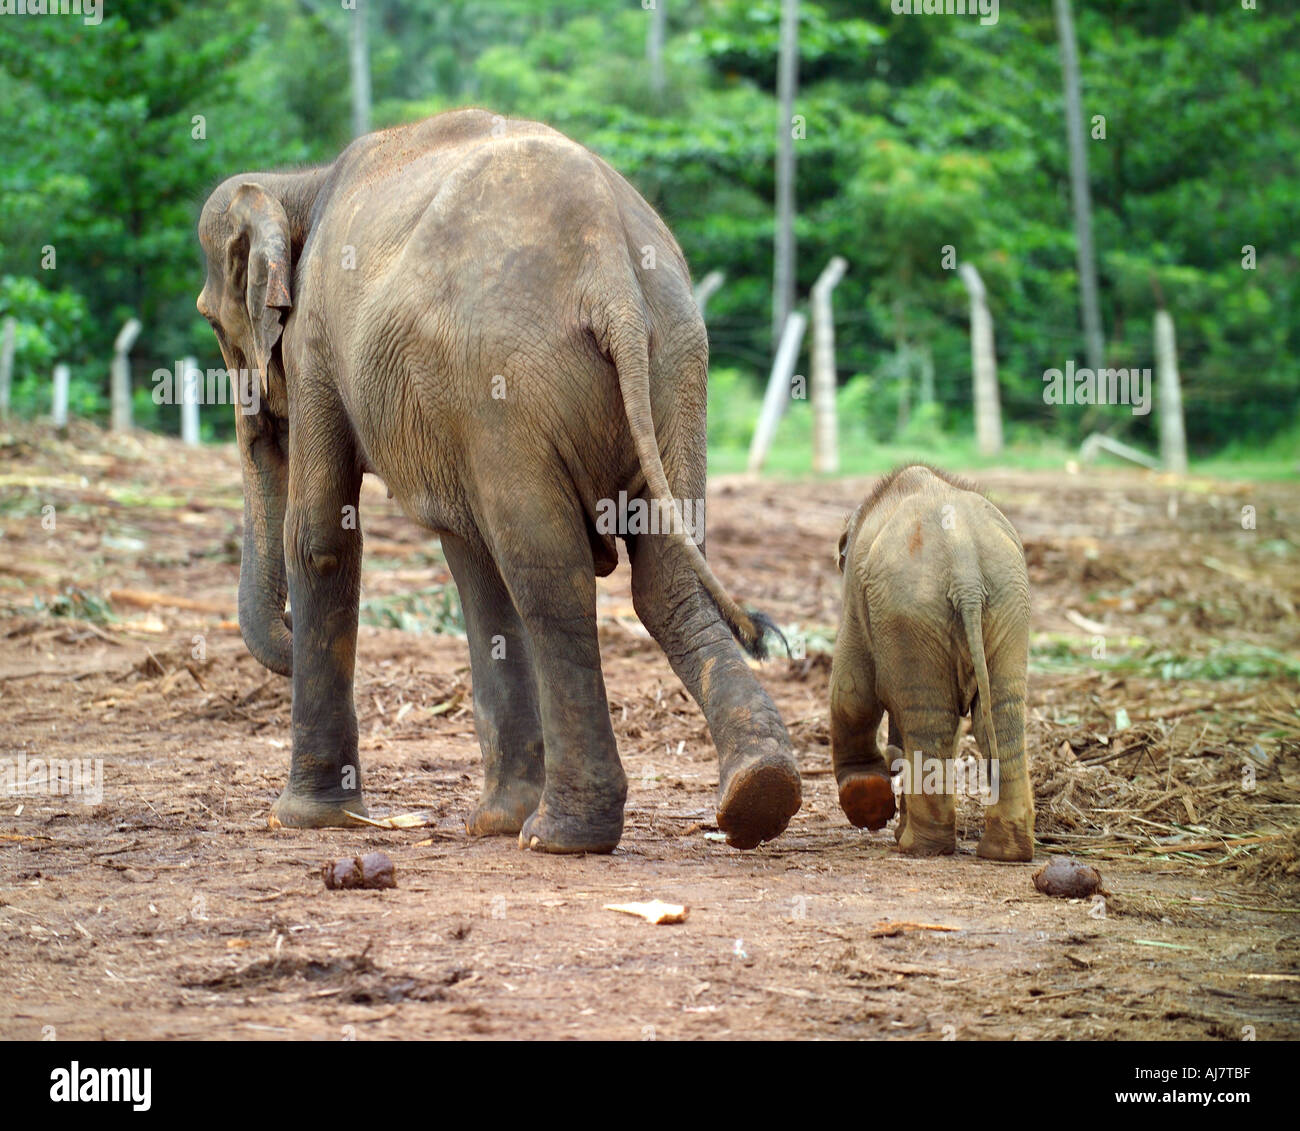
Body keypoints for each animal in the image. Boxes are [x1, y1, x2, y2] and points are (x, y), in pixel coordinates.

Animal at [195, 115, 800, 852]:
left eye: (212, 321)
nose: (282, 630)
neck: (300, 182)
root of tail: (611, 274)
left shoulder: (316, 344)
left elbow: (320, 539)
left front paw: (306, 819)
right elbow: (474, 565)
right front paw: (491, 821)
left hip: (507, 384)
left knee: (549, 573)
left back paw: (561, 834)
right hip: (676, 369)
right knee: (665, 576)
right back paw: (758, 792)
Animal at [832, 465, 1034, 863]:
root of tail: (965, 569)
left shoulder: (855, 598)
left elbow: (853, 692)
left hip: (909, 611)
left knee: (928, 719)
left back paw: (919, 846)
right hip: (1007, 603)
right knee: (999, 717)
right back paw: (1005, 851)